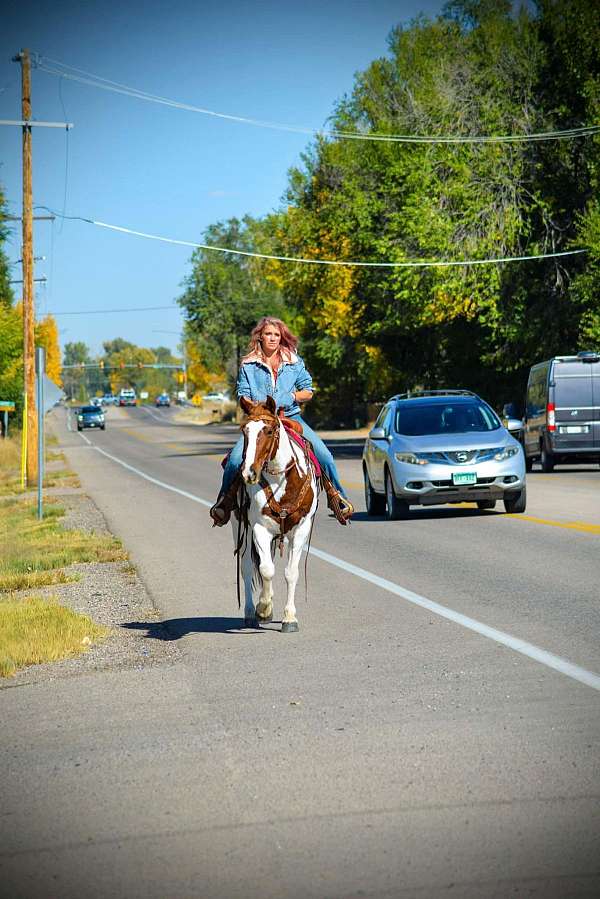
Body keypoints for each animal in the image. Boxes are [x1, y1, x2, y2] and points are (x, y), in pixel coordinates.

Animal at [233, 394, 318, 632]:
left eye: (269, 431)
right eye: (244, 430)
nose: (248, 473)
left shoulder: (301, 530)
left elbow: (290, 572)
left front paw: (289, 618)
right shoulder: (259, 528)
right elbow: (266, 570)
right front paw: (264, 609)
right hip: (239, 527)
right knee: (247, 567)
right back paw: (251, 613)